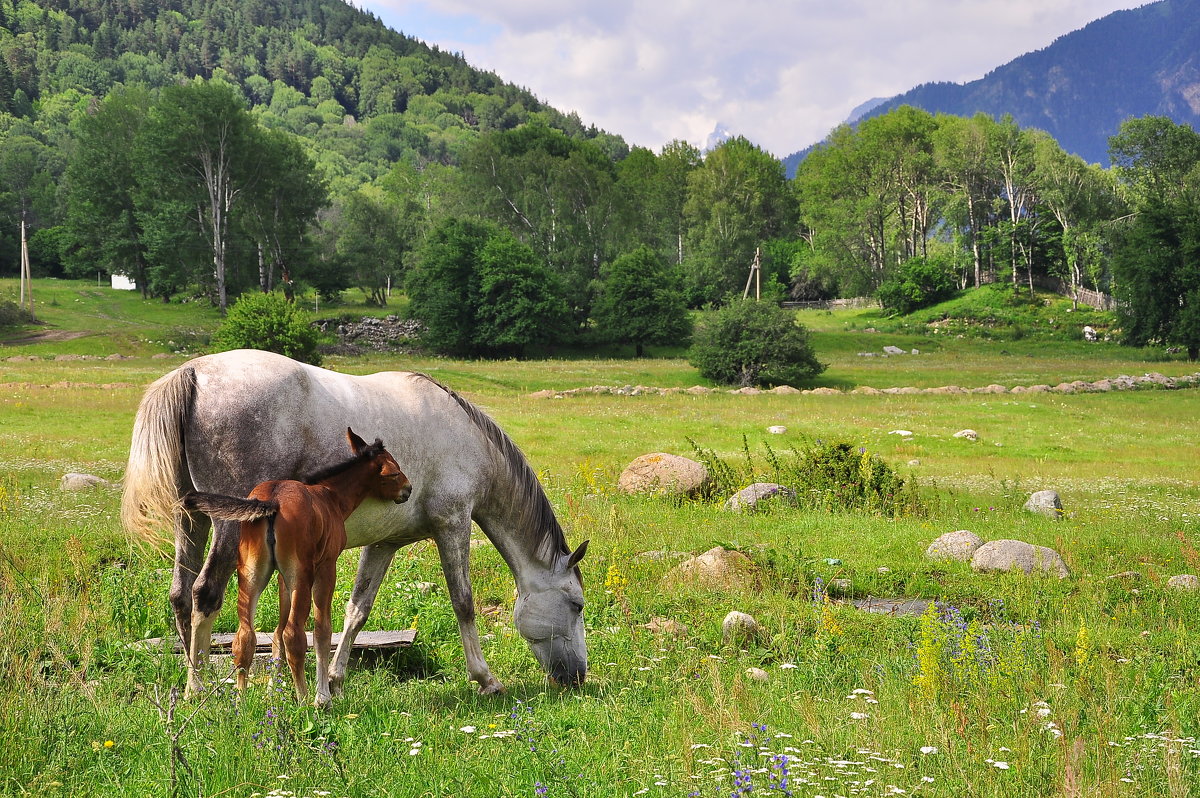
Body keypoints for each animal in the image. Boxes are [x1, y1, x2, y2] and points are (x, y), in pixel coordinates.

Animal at [121, 345, 590, 696]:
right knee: (205, 593)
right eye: (577, 604)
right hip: (229, 527)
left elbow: (356, 610)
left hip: (192, 520)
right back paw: (198, 689)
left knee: (181, 595)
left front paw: (333, 678)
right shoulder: (453, 525)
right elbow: (463, 603)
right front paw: (485, 678)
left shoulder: (383, 544)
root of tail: (193, 372)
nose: (578, 675)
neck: (465, 438)